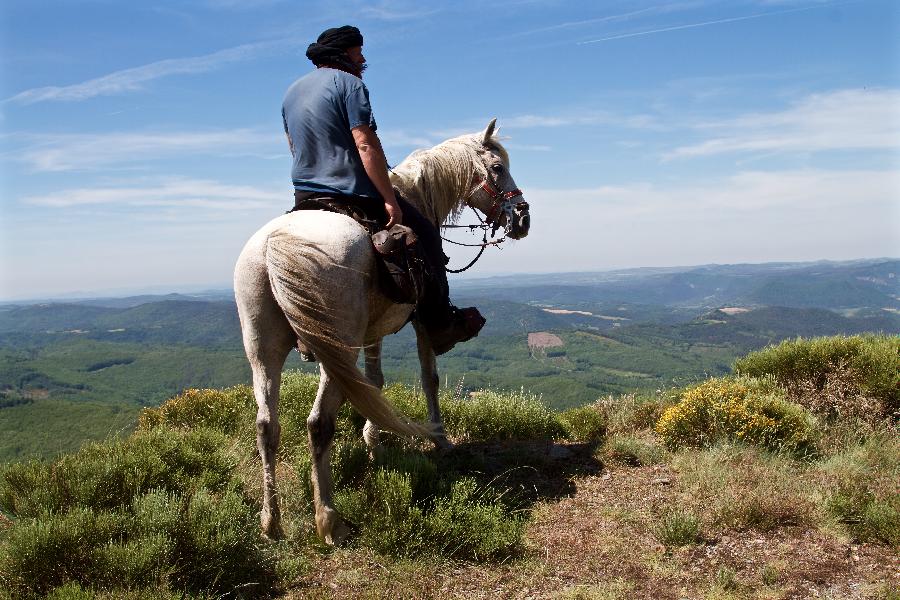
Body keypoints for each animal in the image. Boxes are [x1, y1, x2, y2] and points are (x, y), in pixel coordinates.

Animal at [234, 117, 528, 544]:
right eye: (496, 168)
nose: (522, 218)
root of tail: (275, 244)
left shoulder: (371, 333)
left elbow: (373, 383)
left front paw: (374, 443)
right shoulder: (421, 322)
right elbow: (429, 377)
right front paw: (439, 438)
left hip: (264, 349)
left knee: (266, 426)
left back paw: (271, 522)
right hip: (336, 349)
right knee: (318, 424)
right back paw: (329, 520)